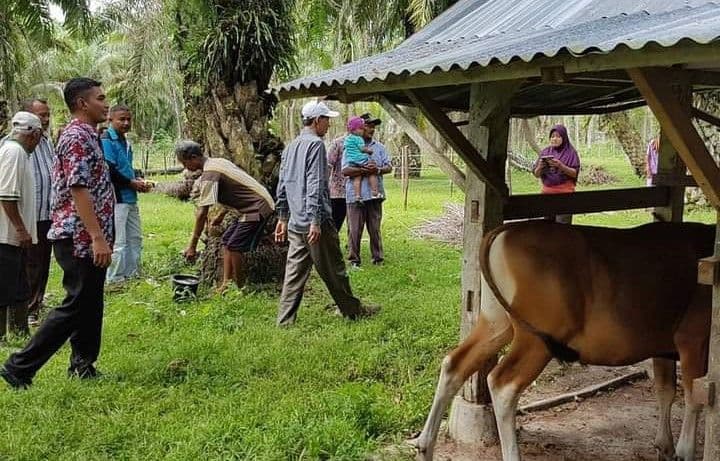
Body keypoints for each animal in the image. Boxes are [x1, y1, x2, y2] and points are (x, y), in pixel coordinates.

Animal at [414, 220, 712, 460]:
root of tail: (504, 231)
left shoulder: (663, 345)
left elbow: (665, 390)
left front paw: (665, 446)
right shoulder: (693, 339)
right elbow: (695, 395)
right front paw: (685, 452)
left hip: (495, 322)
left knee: (455, 363)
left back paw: (424, 446)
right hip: (536, 339)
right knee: (502, 384)